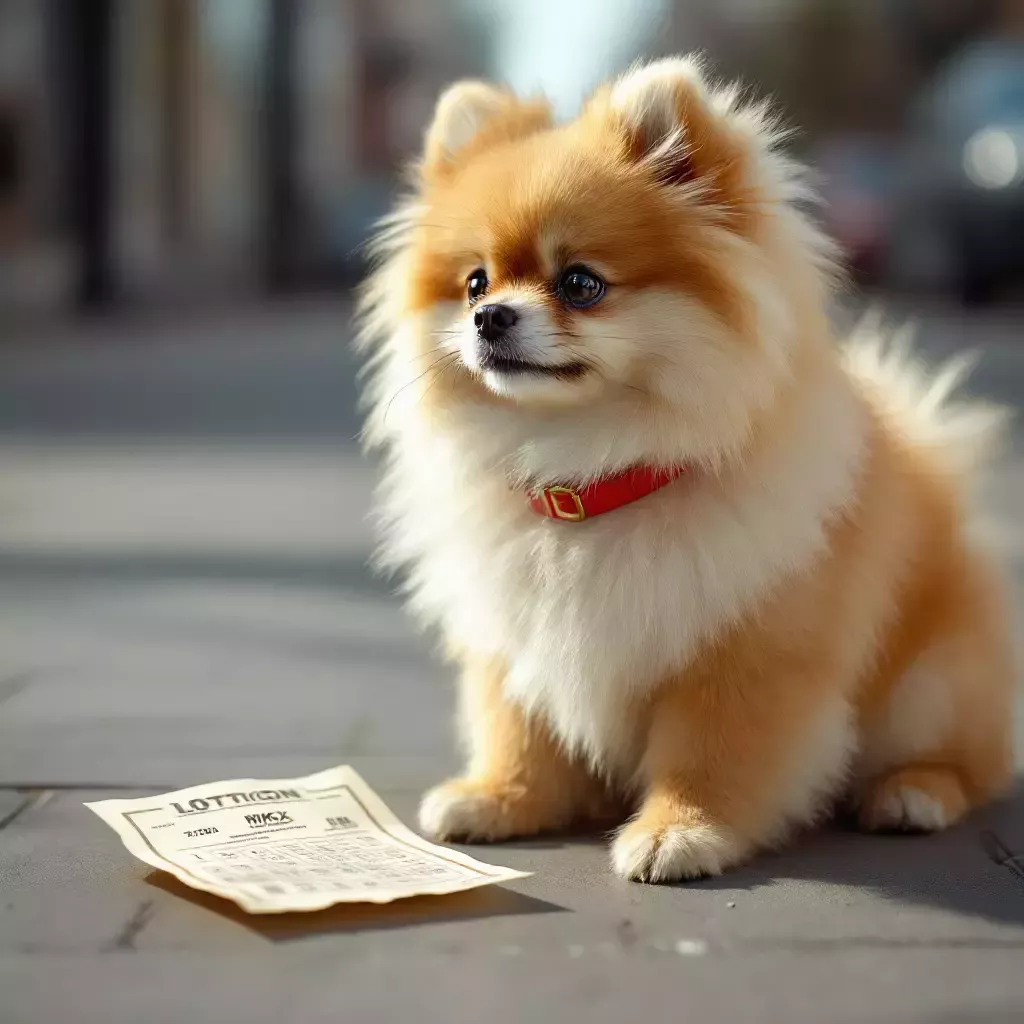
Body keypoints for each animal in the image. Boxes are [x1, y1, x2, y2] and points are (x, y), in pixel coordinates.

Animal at [356, 56, 1011, 884]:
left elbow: (710, 755)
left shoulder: (742, 653)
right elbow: (520, 731)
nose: (489, 317)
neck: (593, 476)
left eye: (580, 283)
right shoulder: (517, 640)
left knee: (972, 766)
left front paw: (682, 833)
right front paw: (500, 798)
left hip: (933, 684)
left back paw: (912, 792)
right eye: (475, 281)